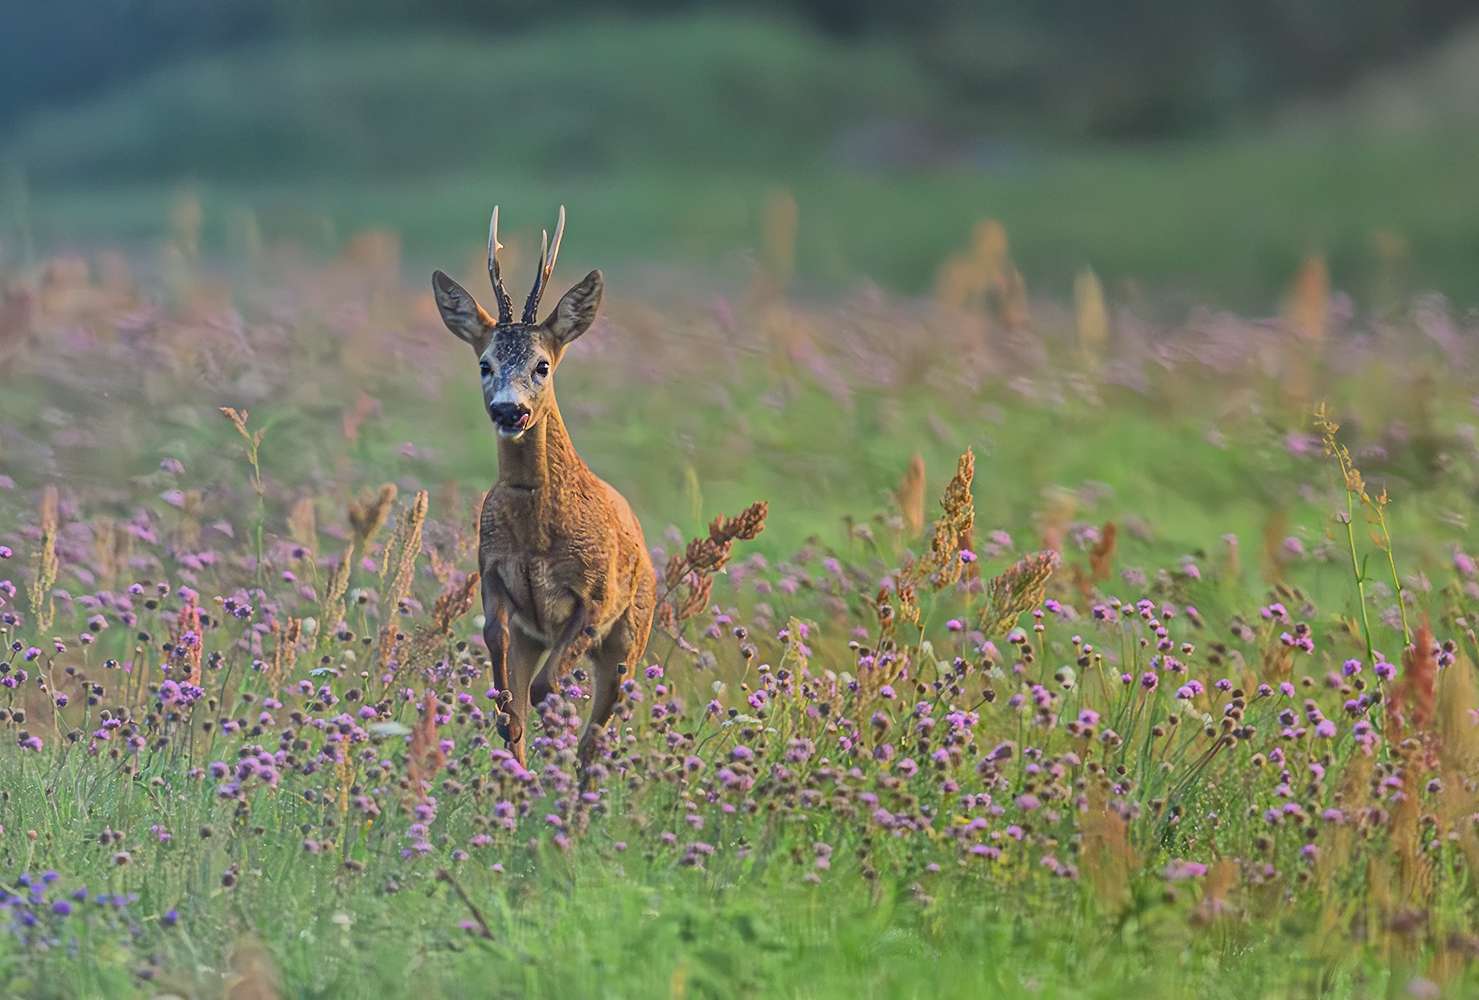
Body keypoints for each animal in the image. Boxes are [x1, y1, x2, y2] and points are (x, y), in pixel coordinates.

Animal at [431, 207, 656, 769]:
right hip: (542, 638)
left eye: (543, 364)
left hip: (630, 639)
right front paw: (509, 732)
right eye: (484, 364)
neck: (535, 538)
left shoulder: (595, 597)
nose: (509, 410)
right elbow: (504, 673)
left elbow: (545, 688)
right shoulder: (493, 575)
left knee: (595, 738)